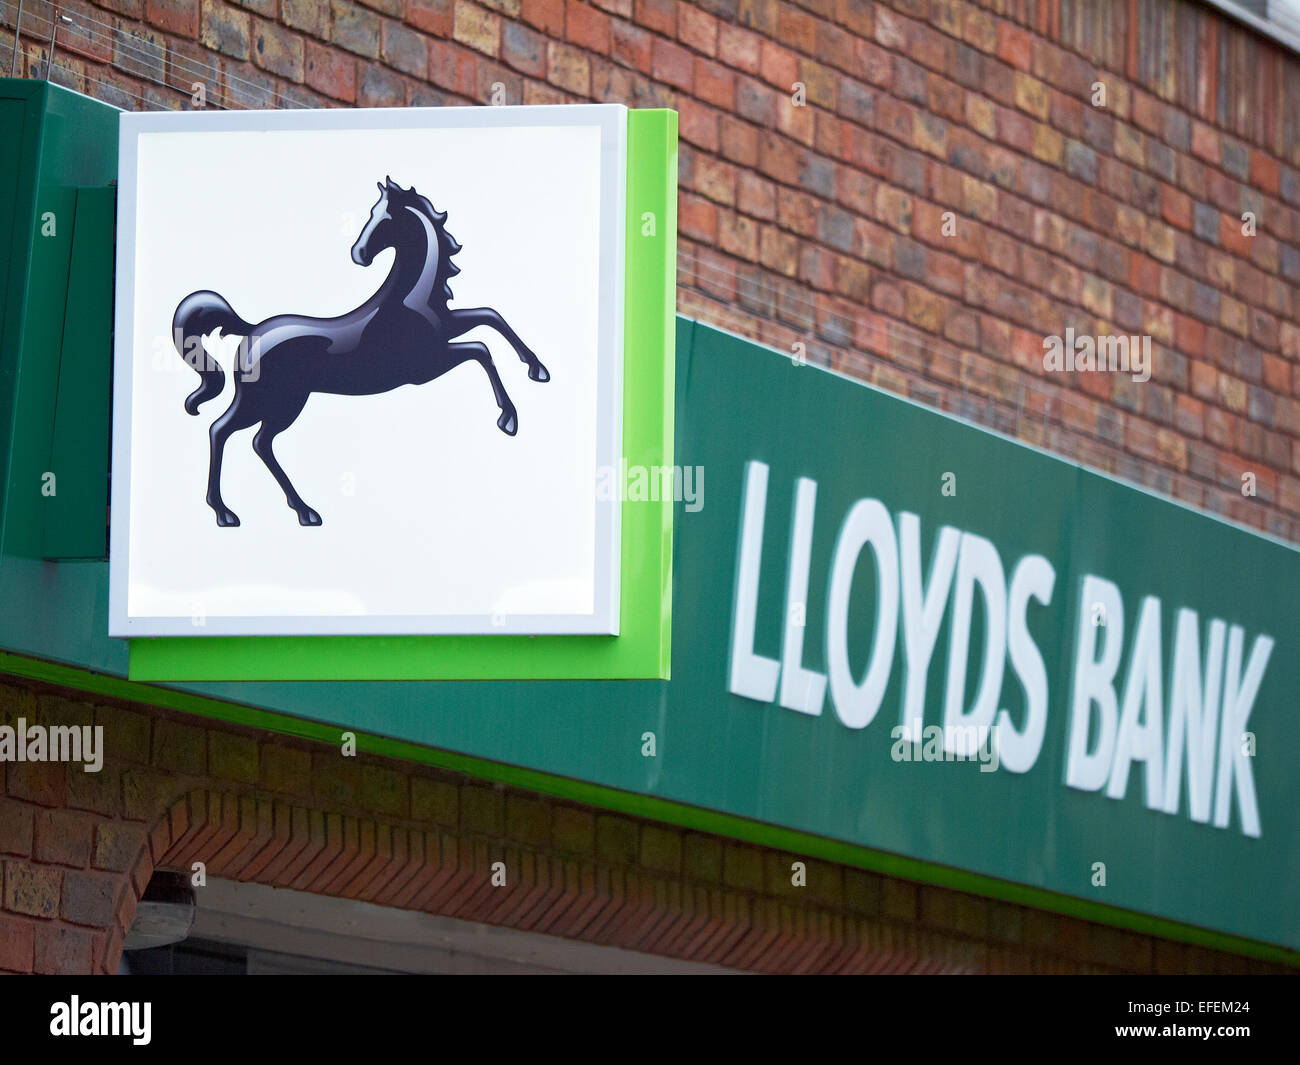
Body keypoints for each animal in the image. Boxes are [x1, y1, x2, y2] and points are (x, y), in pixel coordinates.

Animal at [170, 179, 546, 527]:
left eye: (383, 218)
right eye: (372, 214)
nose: (359, 253)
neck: (409, 299)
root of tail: (250, 332)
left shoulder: (447, 329)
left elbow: (490, 316)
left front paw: (537, 370)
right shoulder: (427, 366)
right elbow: (481, 350)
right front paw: (509, 418)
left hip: (278, 402)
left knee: (258, 442)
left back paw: (298, 511)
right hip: (268, 400)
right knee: (224, 431)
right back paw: (232, 513)